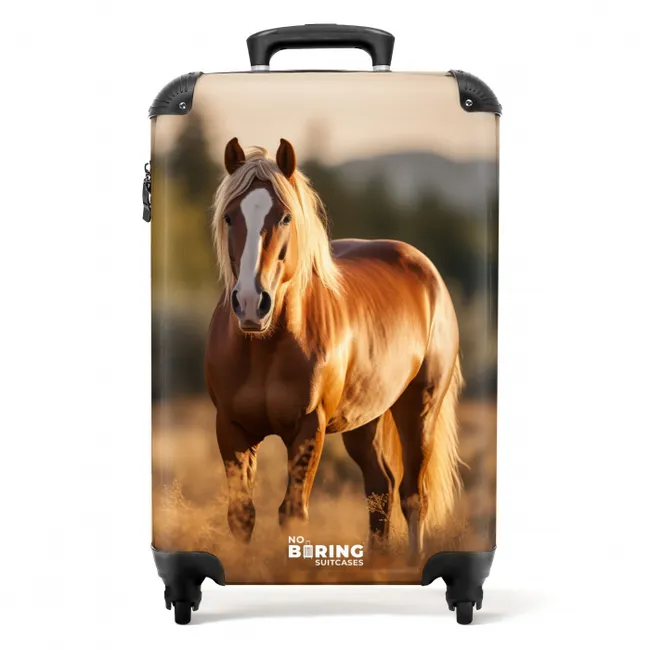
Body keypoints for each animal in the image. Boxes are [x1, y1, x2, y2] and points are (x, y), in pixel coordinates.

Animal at [205, 137, 464, 560]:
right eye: (229, 216)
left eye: (285, 218)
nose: (250, 303)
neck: (264, 348)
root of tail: (428, 273)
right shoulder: (231, 427)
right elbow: (242, 515)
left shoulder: (310, 427)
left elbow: (293, 513)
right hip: (365, 420)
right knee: (380, 489)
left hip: (419, 409)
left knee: (413, 496)